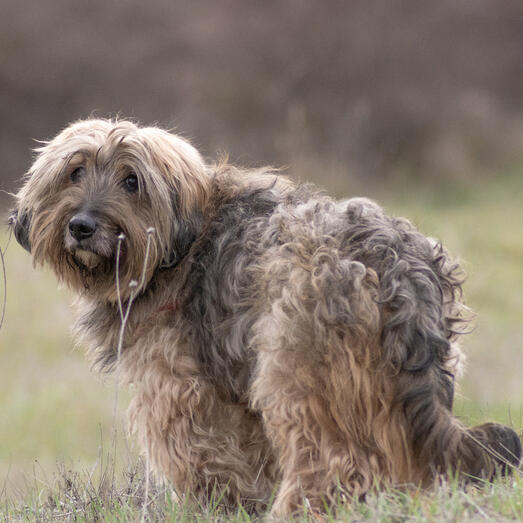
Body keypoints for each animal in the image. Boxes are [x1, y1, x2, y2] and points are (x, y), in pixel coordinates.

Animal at [10, 117, 520, 516]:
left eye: (131, 181)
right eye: (75, 172)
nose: (81, 226)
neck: (180, 244)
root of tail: (392, 263)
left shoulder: (178, 386)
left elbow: (200, 453)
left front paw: (217, 506)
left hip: (299, 371)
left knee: (332, 461)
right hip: (382, 389)